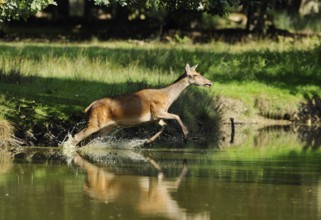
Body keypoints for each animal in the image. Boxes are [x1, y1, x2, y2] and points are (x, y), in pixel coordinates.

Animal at [67, 63, 211, 146]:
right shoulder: (158, 111)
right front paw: (186, 136)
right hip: (95, 122)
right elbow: (177, 116)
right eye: (195, 75)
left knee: (89, 139)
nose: (209, 82)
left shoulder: (154, 117)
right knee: (77, 136)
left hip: (106, 127)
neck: (168, 98)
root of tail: (89, 107)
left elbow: (164, 126)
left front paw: (148, 141)